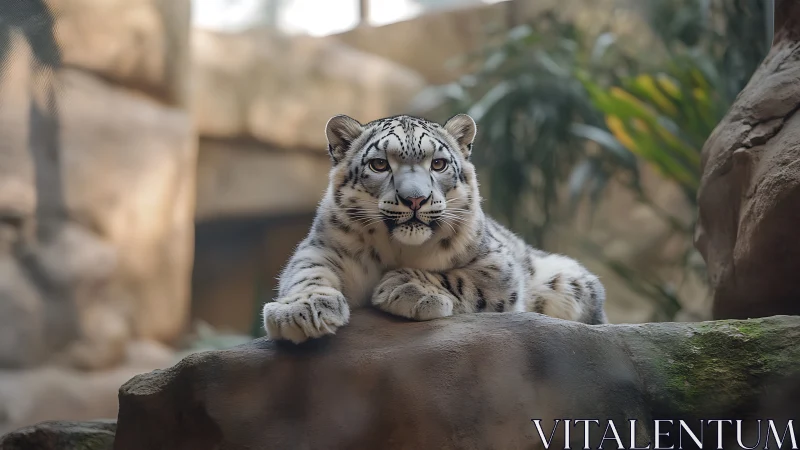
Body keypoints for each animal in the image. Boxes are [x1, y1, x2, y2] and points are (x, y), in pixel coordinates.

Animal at [262, 113, 608, 343]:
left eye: (438, 164)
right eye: (379, 164)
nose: (415, 198)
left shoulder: (497, 263)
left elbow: (465, 280)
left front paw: (406, 287)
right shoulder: (322, 246)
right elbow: (307, 271)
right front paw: (302, 310)